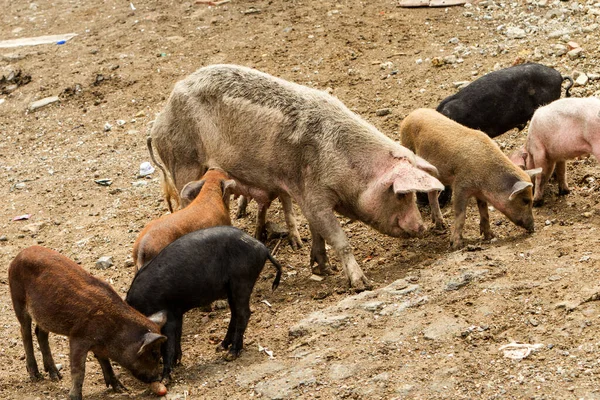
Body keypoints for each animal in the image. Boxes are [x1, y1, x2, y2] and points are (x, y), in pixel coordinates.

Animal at [9, 247, 168, 400]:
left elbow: (105, 362)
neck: (114, 329)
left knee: (40, 333)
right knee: (25, 333)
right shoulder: (77, 337)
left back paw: (56, 376)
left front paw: (121, 389)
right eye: (154, 353)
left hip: (44, 315)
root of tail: (19, 255)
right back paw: (36, 376)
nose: (157, 378)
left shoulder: (98, 344)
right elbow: (79, 370)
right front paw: (75, 397)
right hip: (18, 301)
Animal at [125, 227, 284, 382]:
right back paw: (221, 347)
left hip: (242, 280)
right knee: (235, 313)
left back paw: (230, 355)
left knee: (244, 313)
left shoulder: (167, 314)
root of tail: (263, 248)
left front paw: (165, 379)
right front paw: (177, 363)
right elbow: (178, 336)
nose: (150, 379)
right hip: (231, 288)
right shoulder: (177, 313)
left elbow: (169, 344)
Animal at [148, 65, 442, 290]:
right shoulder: (313, 194)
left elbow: (317, 232)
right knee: (185, 203)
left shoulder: (307, 196)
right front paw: (361, 284)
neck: (347, 165)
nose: (421, 227)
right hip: (183, 161)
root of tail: (160, 118)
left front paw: (324, 268)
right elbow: (339, 239)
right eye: (401, 195)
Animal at [400, 108, 540, 248]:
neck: (487, 177)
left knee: (432, 193)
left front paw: (490, 236)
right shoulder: (460, 185)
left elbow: (484, 212)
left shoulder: (480, 194)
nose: (533, 228)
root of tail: (412, 114)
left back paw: (440, 225)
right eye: (525, 200)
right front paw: (456, 245)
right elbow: (461, 214)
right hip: (407, 146)